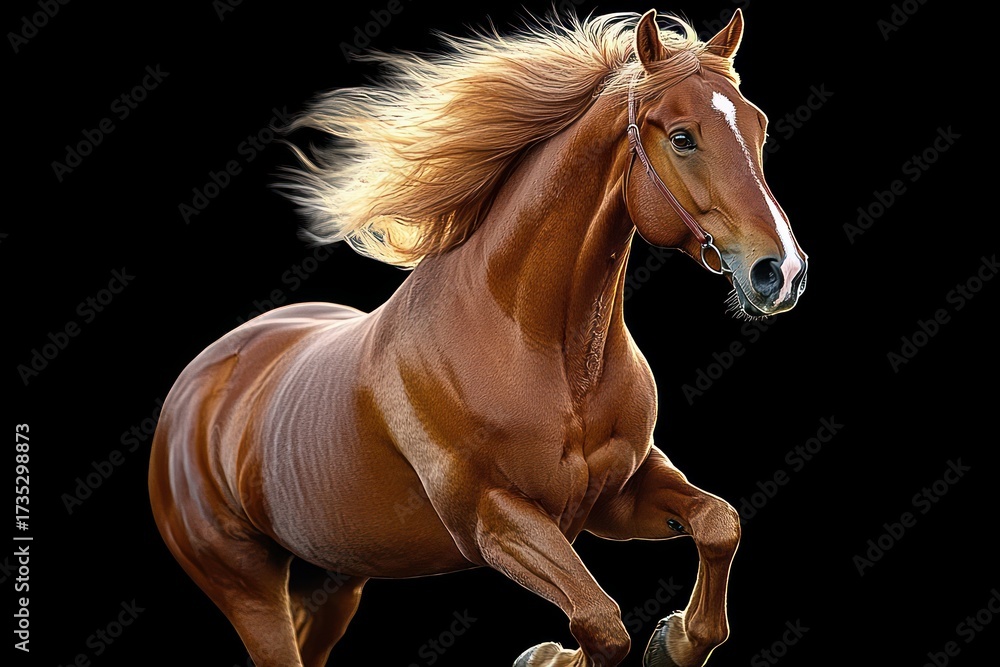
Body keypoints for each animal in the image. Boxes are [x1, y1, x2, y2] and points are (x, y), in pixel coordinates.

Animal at [149, 8, 807, 666]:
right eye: (682, 137)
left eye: (758, 126)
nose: (781, 273)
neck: (538, 347)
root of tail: (191, 393)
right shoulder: (494, 520)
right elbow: (600, 623)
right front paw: (550, 656)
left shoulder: (615, 496)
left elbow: (719, 524)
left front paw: (676, 640)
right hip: (250, 587)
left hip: (331, 579)